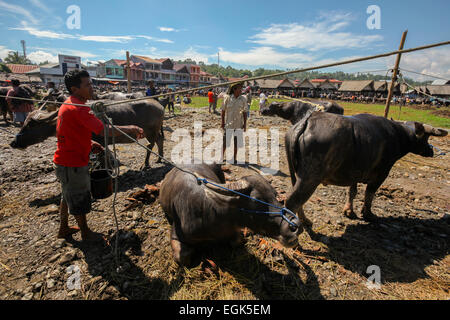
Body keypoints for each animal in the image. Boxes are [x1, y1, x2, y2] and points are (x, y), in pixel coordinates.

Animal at [9, 99, 165, 169]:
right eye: (24, 123)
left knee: (151, 145)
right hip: (155, 131)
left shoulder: (100, 140)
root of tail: (160, 106)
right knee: (160, 140)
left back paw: (146, 164)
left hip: (150, 132)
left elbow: (105, 155)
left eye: (30, 125)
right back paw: (159, 159)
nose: (13, 142)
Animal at [159, 162, 302, 264]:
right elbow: (183, 256)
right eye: (257, 200)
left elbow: (237, 241)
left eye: (274, 194)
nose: (294, 226)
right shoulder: (176, 234)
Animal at [284, 112, 446, 225]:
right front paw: (368, 214)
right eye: (426, 137)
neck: (399, 136)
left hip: (296, 174)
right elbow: (370, 193)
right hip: (310, 177)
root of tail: (307, 121)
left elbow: (352, 191)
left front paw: (349, 211)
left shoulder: (355, 173)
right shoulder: (382, 172)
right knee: (292, 201)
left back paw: (305, 221)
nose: (431, 151)